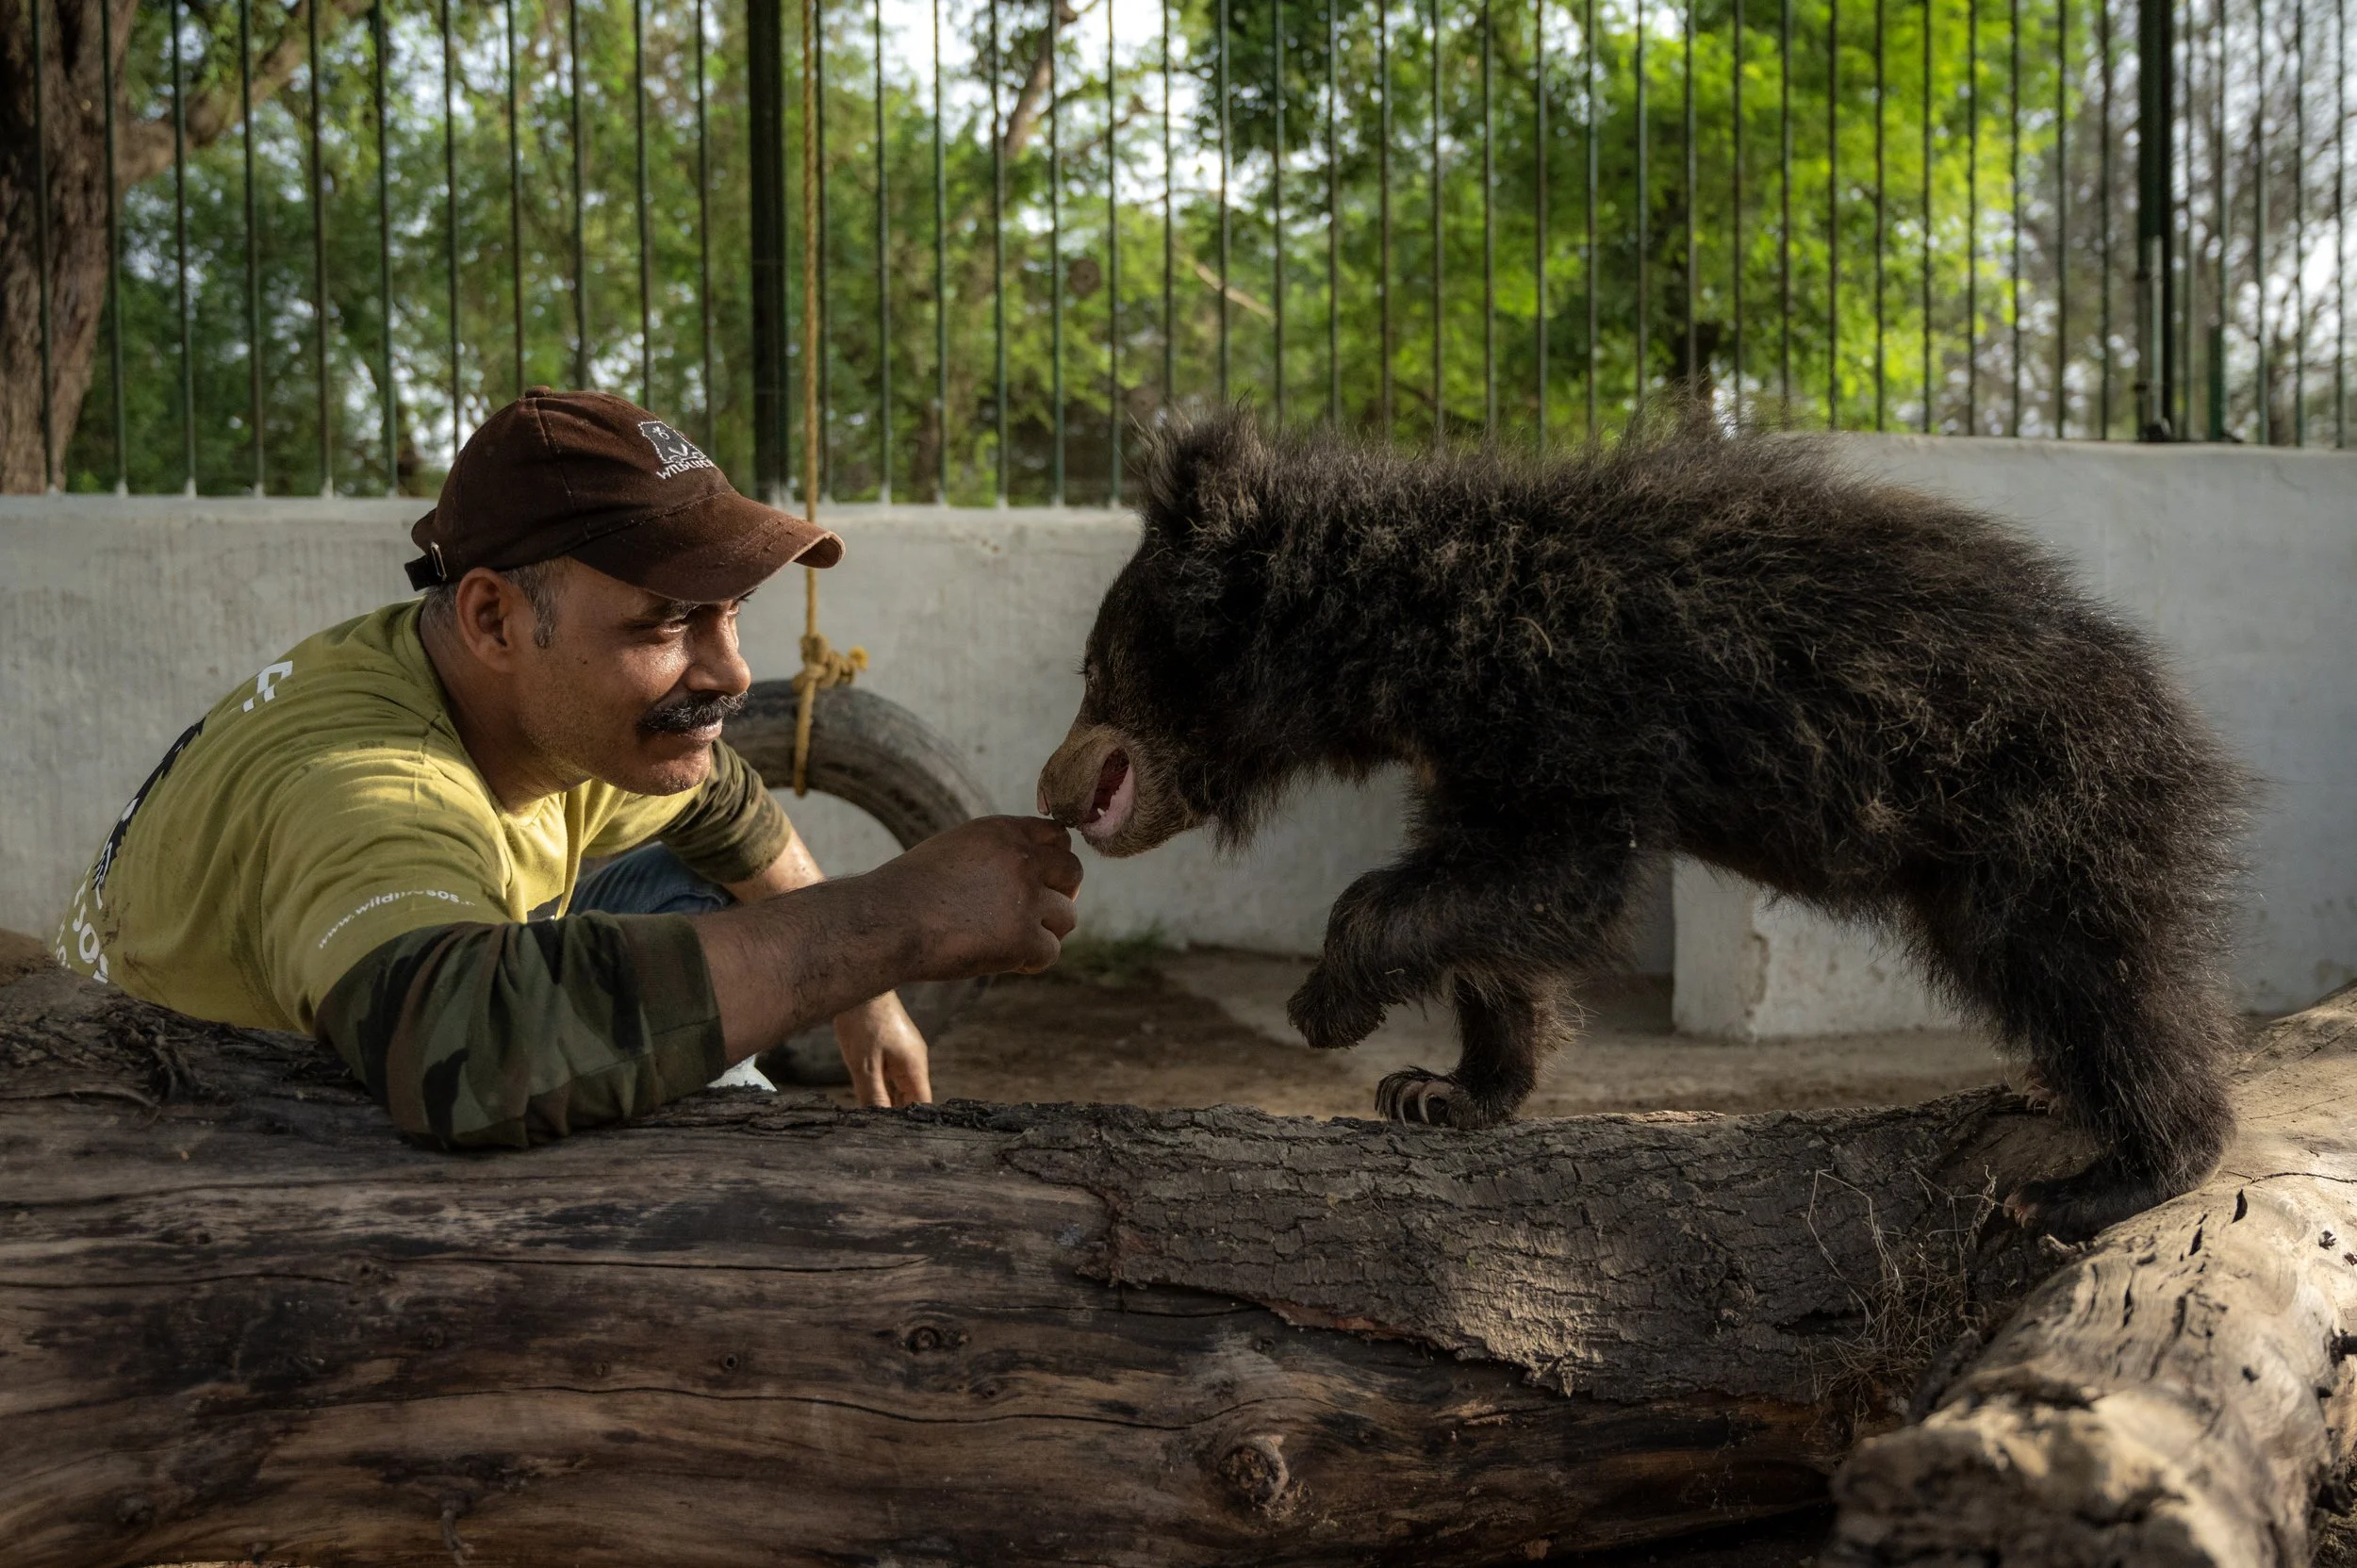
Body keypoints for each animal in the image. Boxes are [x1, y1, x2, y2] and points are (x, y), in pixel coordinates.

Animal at [1036, 408, 2246, 1243]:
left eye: (1092, 673)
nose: (1056, 788)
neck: (1405, 640)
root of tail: (2169, 710)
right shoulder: (1473, 753)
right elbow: (1496, 910)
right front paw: (1442, 1091)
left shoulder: (1566, 708)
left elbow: (1551, 880)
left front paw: (1327, 1007)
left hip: (2040, 811)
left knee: (2101, 976)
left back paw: (2111, 1175)